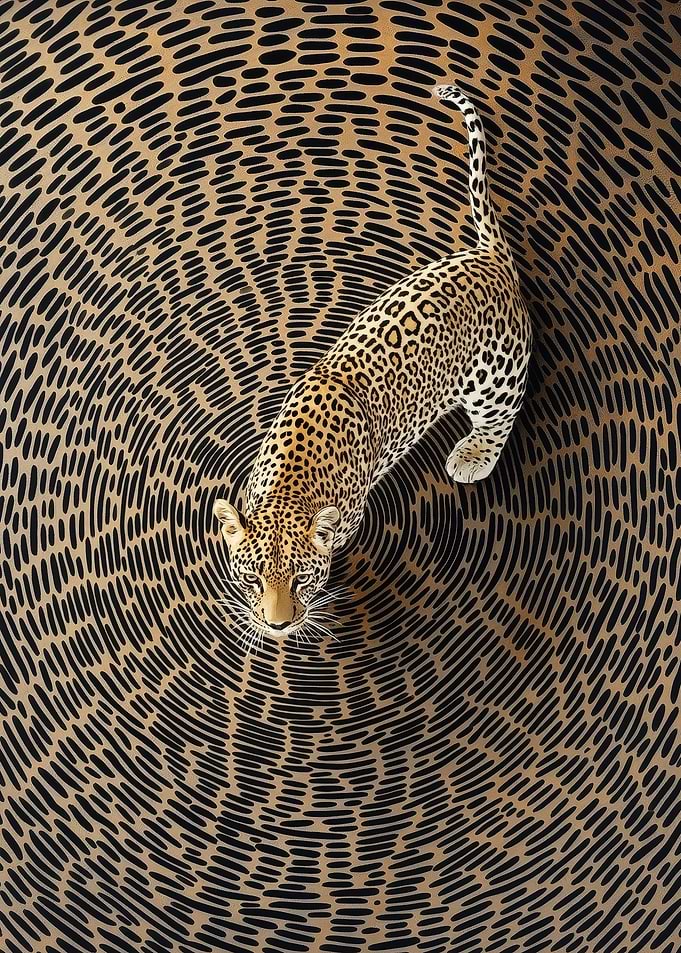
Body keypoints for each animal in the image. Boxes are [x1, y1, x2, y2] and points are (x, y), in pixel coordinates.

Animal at [215, 83, 532, 639]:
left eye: (302, 579)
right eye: (253, 578)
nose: (278, 627)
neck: (291, 485)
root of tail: (487, 256)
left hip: (496, 373)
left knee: (501, 414)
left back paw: (473, 455)